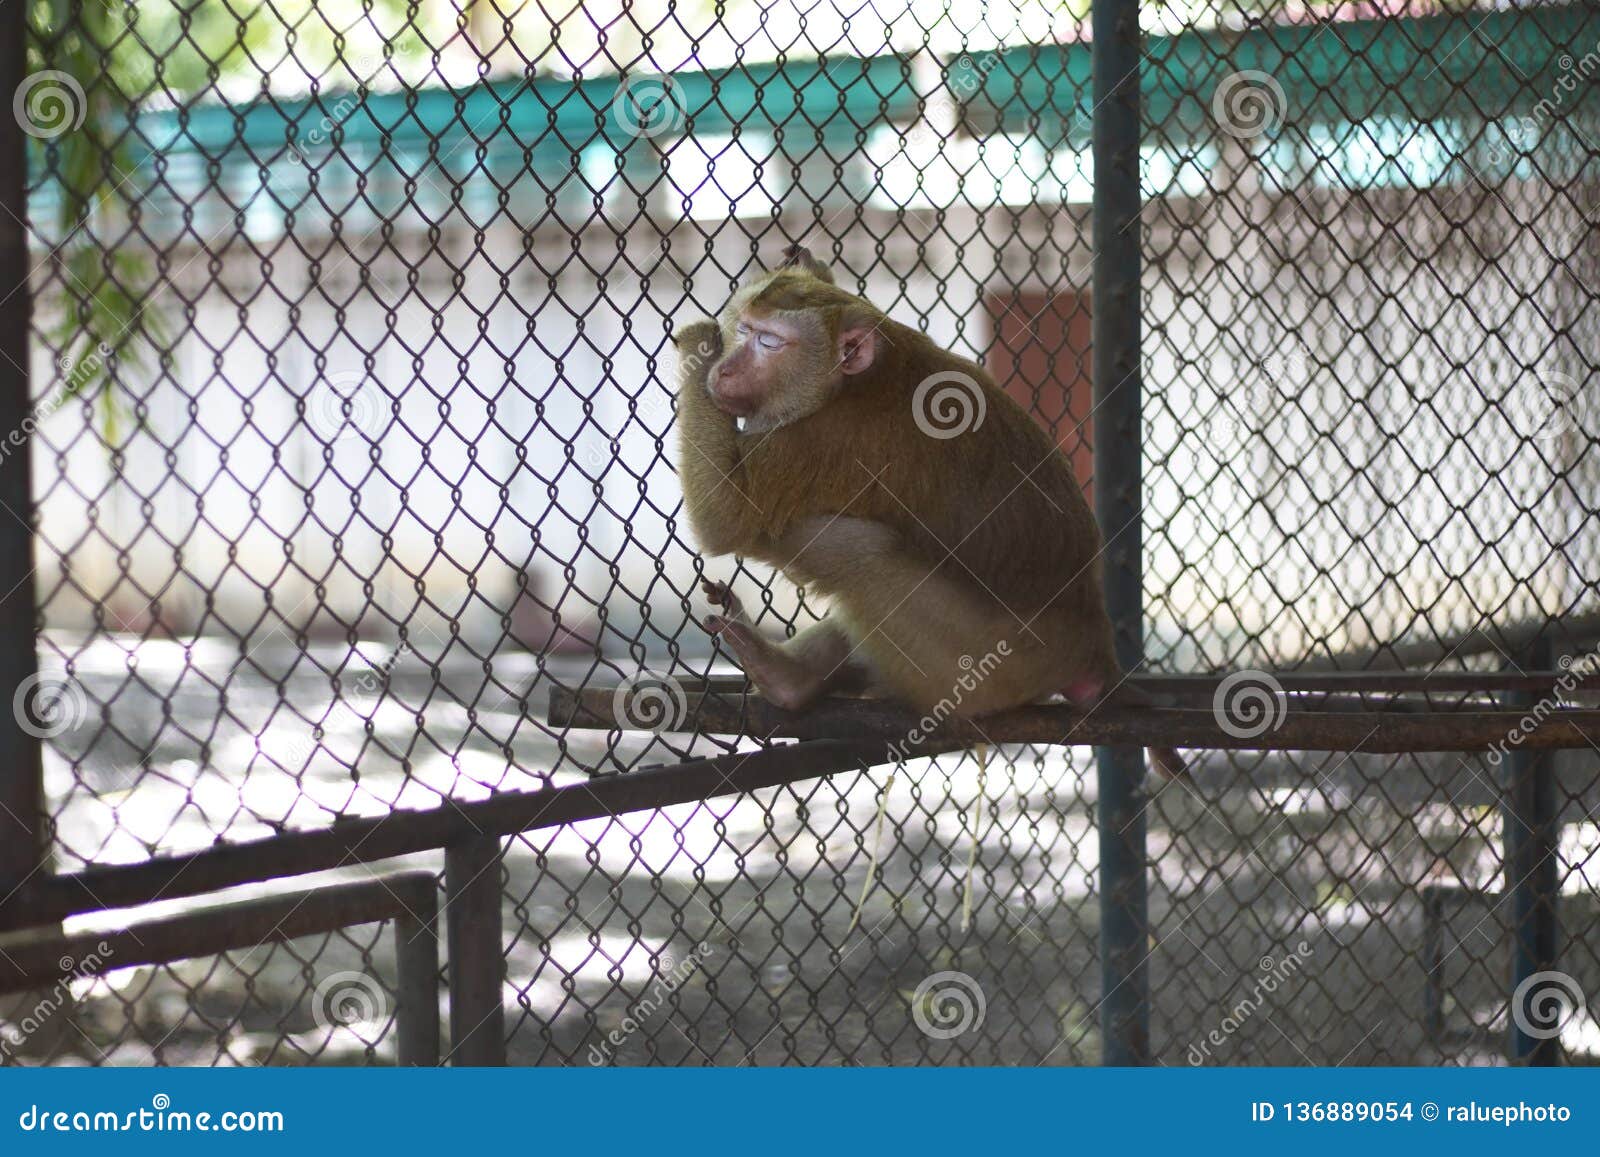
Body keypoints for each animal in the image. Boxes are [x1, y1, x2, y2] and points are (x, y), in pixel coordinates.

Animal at [672, 244, 1186, 779]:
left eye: (769, 342)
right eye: (746, 330)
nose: (725, 370)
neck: (854, 381)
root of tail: (1094, 648)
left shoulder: (822, 439)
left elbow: (725, 516)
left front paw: (697, 346)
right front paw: (809, 265)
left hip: (986, 664)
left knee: (862, 551)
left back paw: (787, 677)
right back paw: (792, 677)